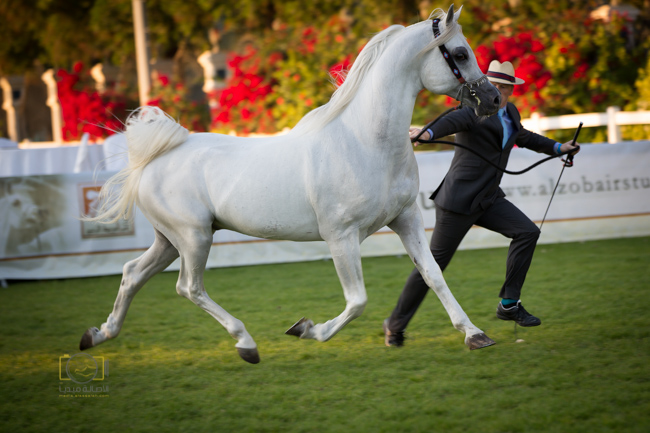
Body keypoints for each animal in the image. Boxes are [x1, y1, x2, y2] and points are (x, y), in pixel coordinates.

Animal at [80, 5, 501, 364]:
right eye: (460, 53)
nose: (493, 99)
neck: (365, 142)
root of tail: (156, 157)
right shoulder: (341, 236)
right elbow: (357, 300)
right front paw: (306, 329)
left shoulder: (407, 219)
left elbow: (432, 276)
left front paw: (475, 335)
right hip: (193, 237)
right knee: (189, 287)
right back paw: (246, 344)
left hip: (170, 240)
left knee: (133, 272)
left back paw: (97, 335)